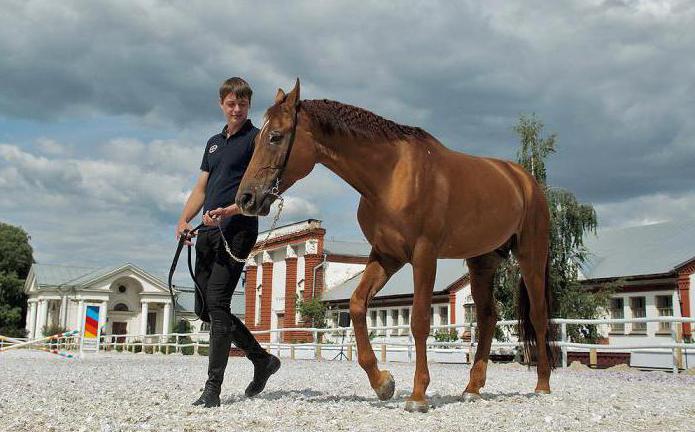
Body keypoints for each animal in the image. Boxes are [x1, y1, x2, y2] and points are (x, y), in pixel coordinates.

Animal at [237, 79, 556, 414]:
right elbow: (357, 305)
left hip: (531, 256)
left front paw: (417, 395)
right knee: (487, 317)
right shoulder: (386, 256)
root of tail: (524, 180)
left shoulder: (424, 255)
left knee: (537, 315)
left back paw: (542, 385)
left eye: (275, 136)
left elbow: (419, 321)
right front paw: (382, 383)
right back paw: (472, 388)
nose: (245, 198)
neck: (391, 176)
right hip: (482, 261)